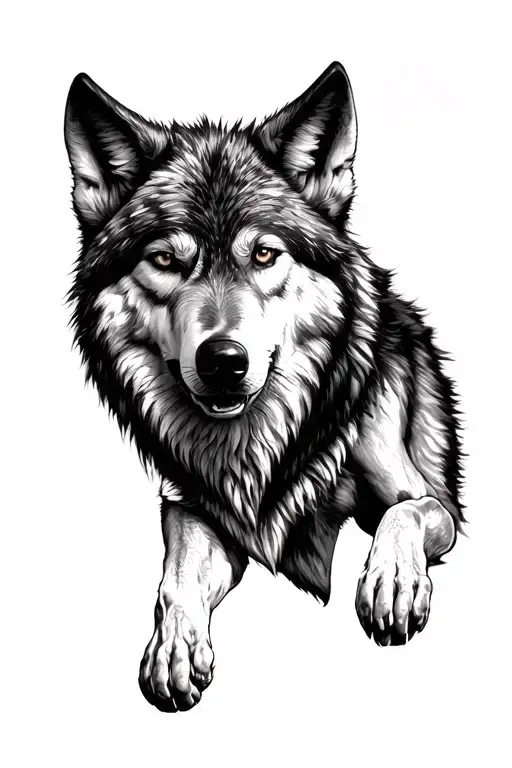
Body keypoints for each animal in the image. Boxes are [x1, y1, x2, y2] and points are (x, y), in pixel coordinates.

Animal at [64, 62, 465, 712]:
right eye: (166, 261)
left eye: (264, 254)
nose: (224, 361)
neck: (263, 441)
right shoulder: (197, 509)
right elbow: (177, 576)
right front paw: (174, 650)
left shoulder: (433, 501)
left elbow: (405, 513)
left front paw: (391, 584)